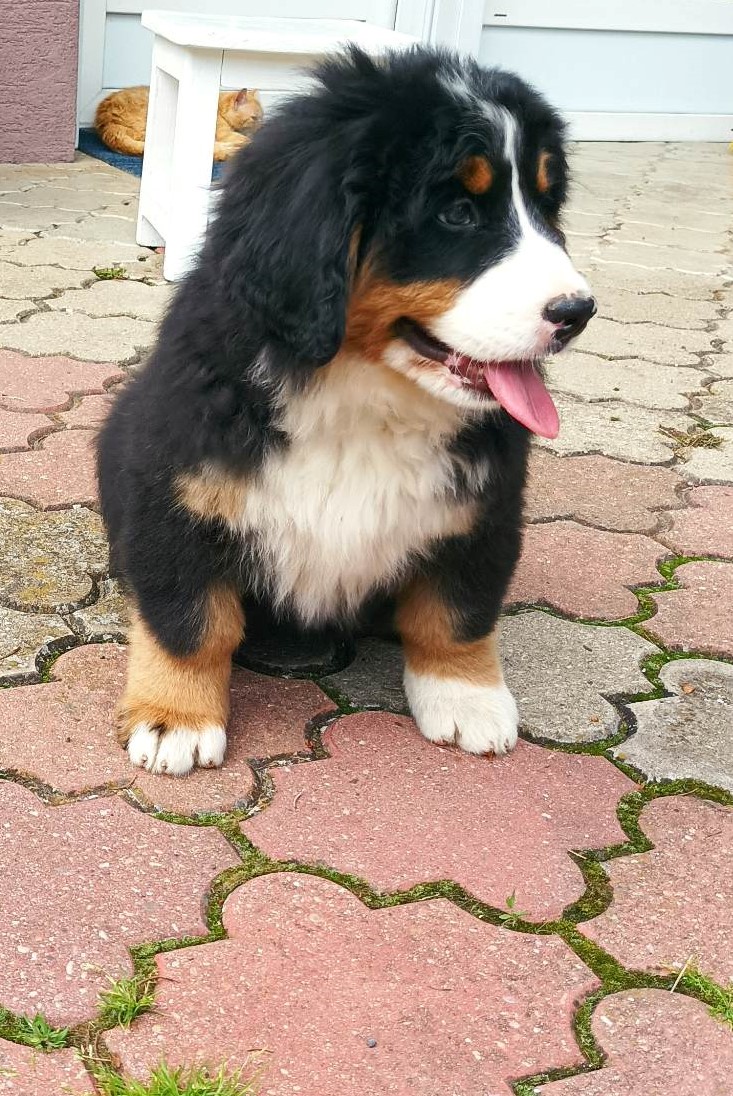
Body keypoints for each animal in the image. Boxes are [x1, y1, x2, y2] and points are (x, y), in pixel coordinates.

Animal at [95, 86, 263, 161]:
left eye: (262, 117)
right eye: (254, 118)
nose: (262, 127)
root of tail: (108, 123)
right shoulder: (224, 134)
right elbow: (245, 139)